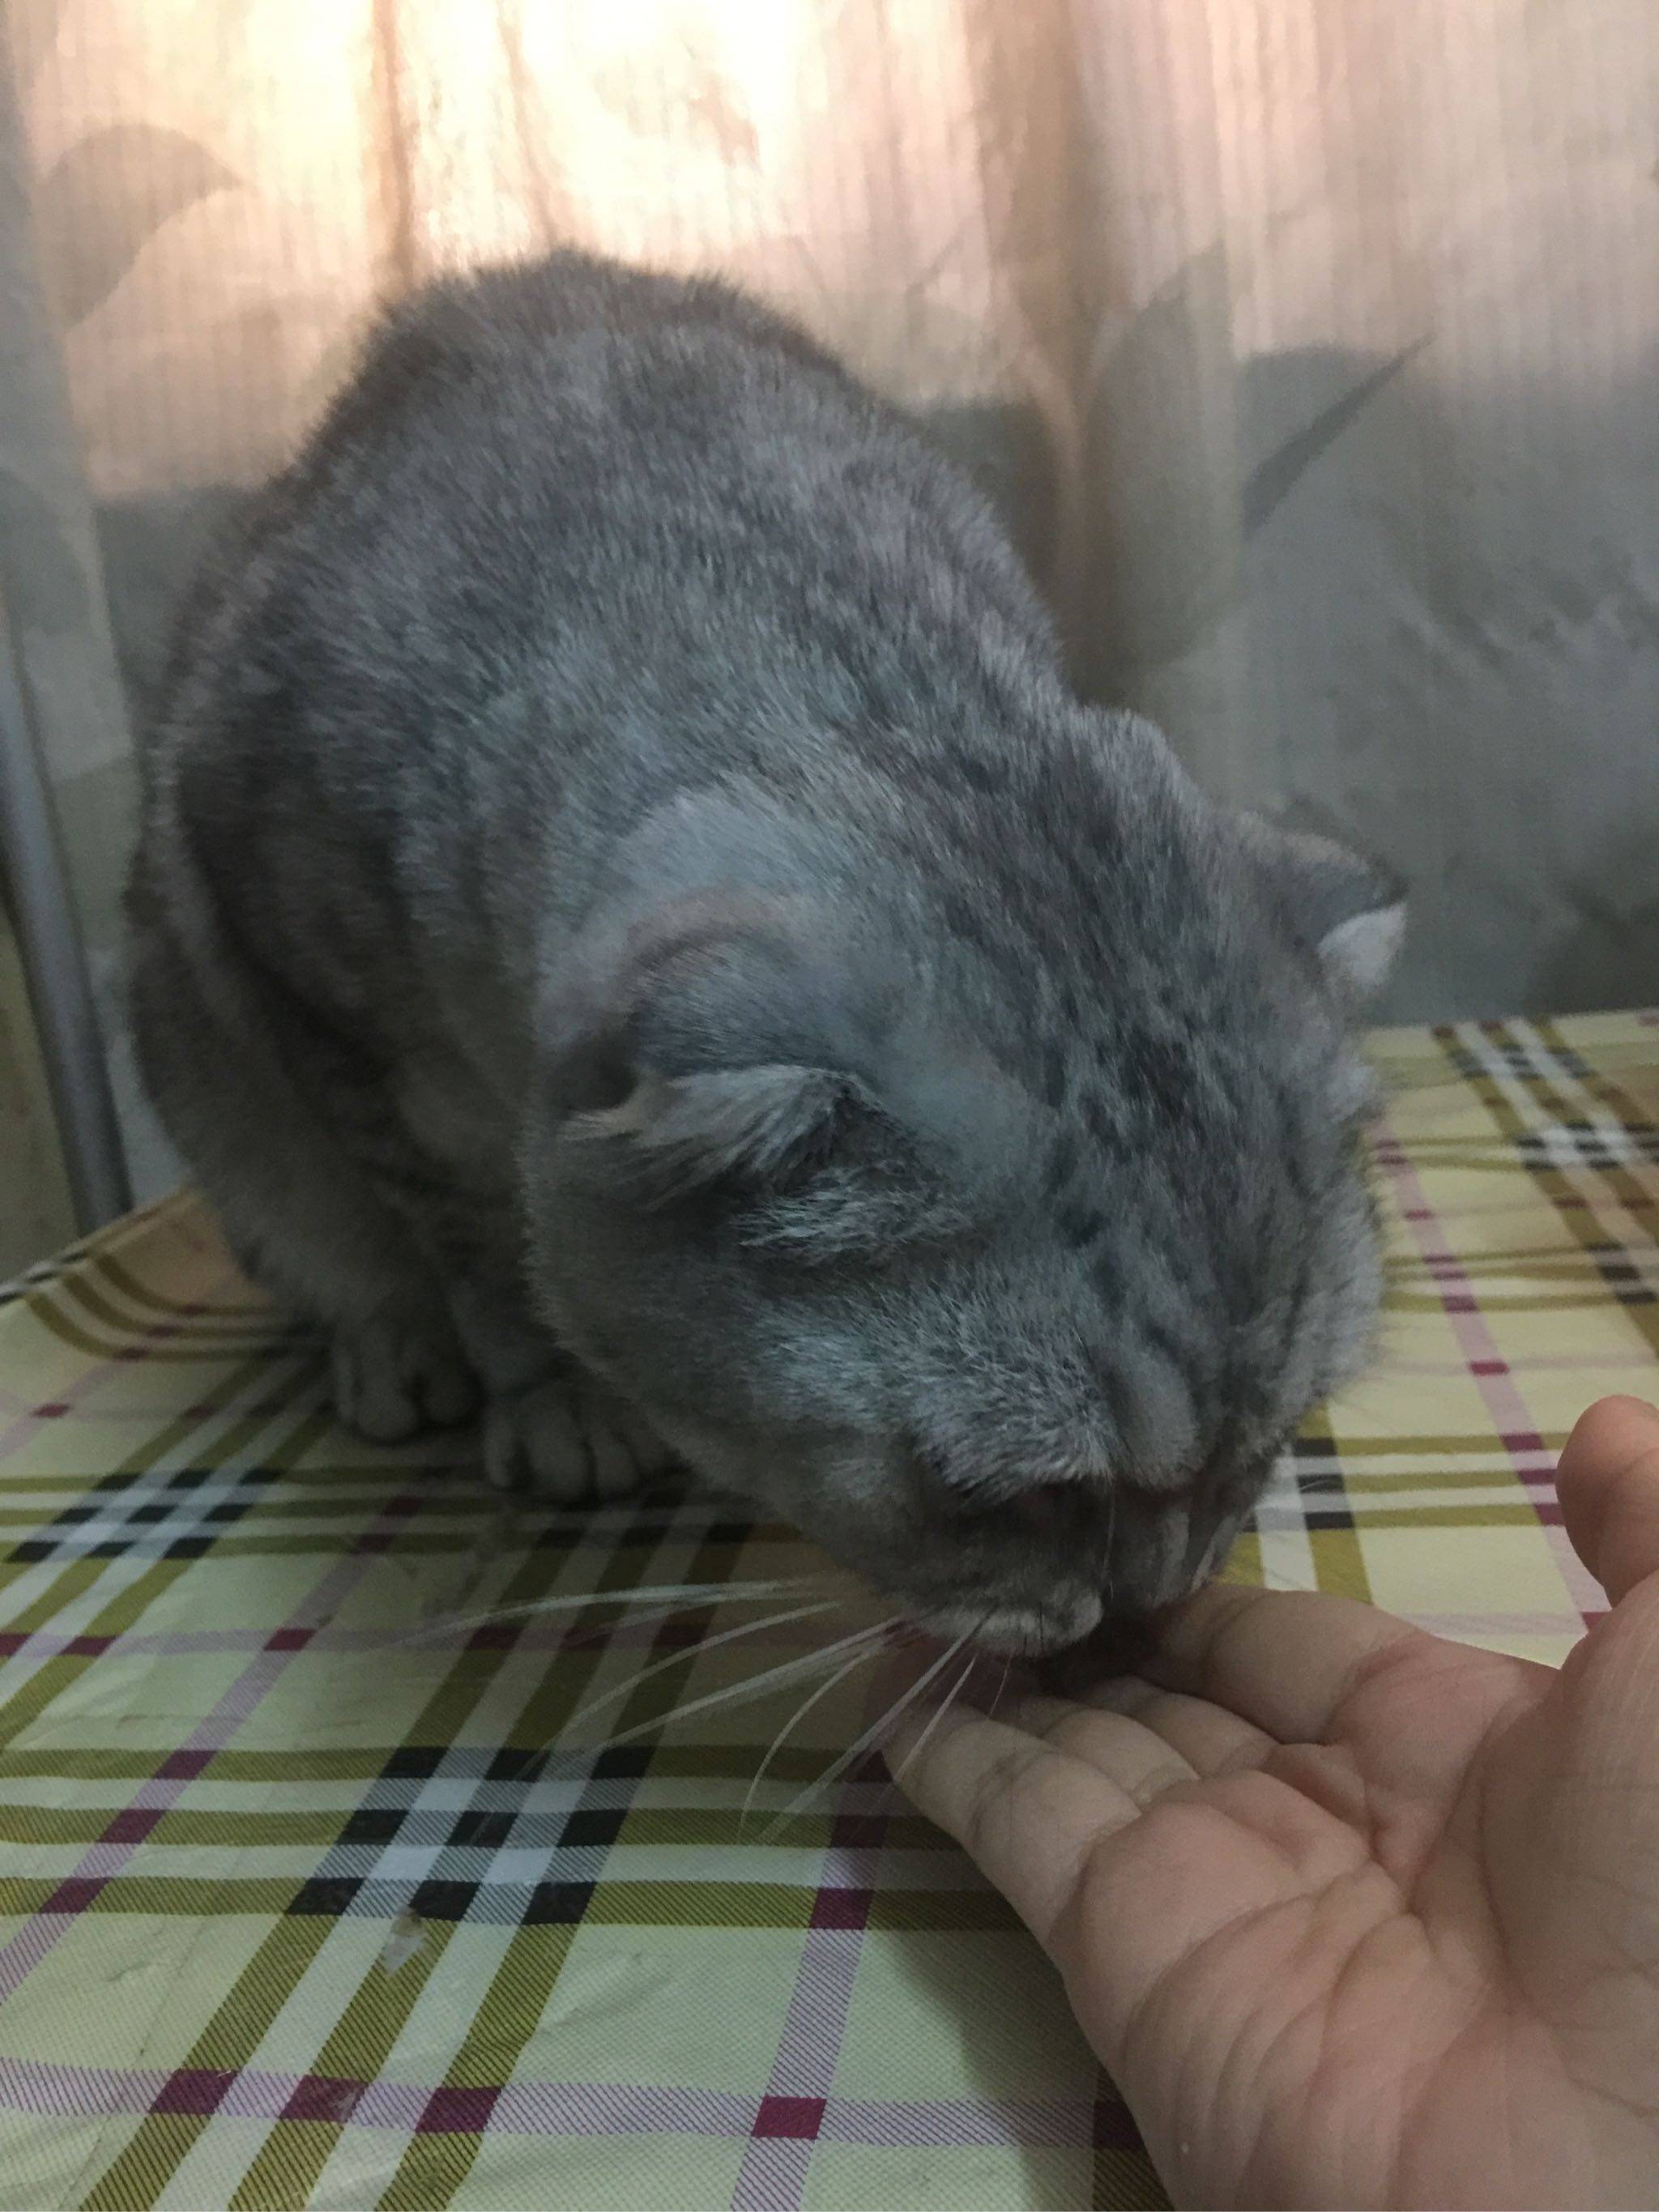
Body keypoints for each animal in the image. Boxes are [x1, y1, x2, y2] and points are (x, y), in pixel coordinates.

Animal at [126, 250, 1403, 1658]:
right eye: (1005, 1494)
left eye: (1264, 1450)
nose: (1147, 1604)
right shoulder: (313, 990)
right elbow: (475, 1238)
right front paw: (549, 1383)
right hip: (209, 1080)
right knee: (324, 1248)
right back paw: (395, 1344)